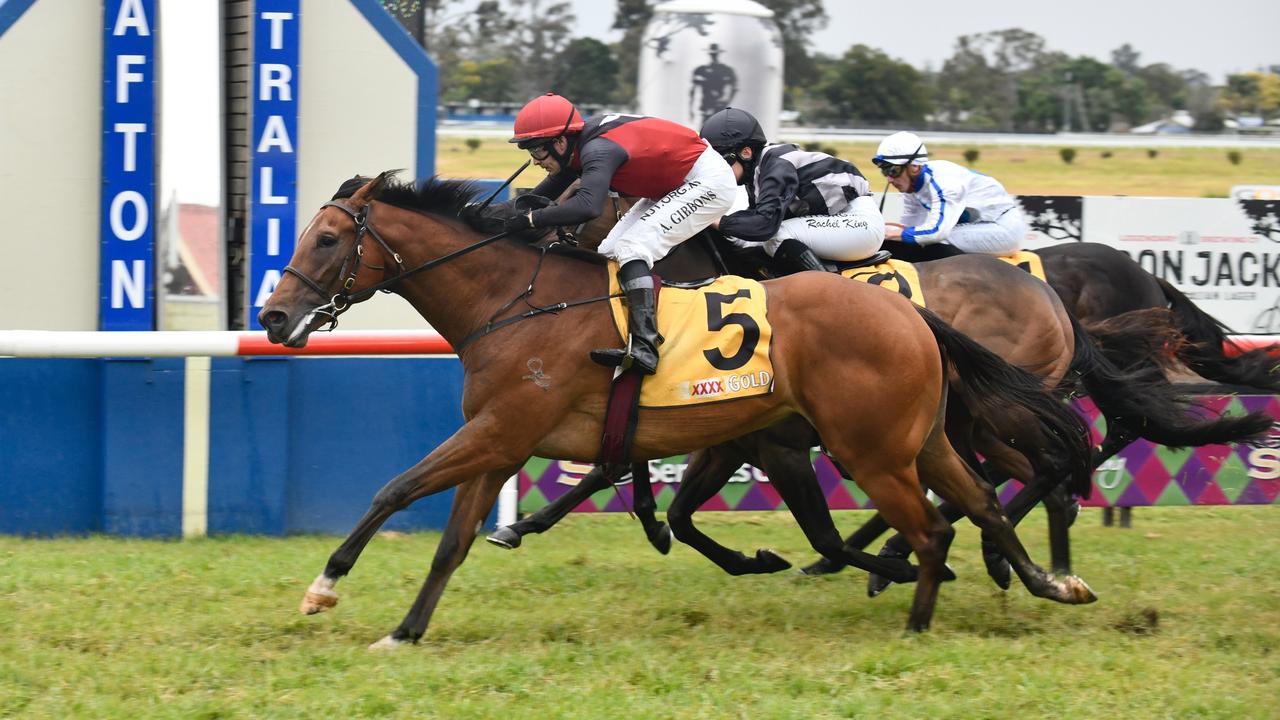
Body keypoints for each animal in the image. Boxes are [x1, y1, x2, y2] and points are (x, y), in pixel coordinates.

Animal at [257, 172, 1090, 638]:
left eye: (326, 239)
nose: (271, 316)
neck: (514, 302)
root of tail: (909, 313)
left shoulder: (500, 433)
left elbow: (394, 489)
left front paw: (324, 587)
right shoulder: (502, 443)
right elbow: (451, 543)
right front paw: (405, 630)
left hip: (875, 450)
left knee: (938, 526)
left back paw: (919, 612)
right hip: (924, 440)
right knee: (981, 503)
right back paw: (1047, 581)